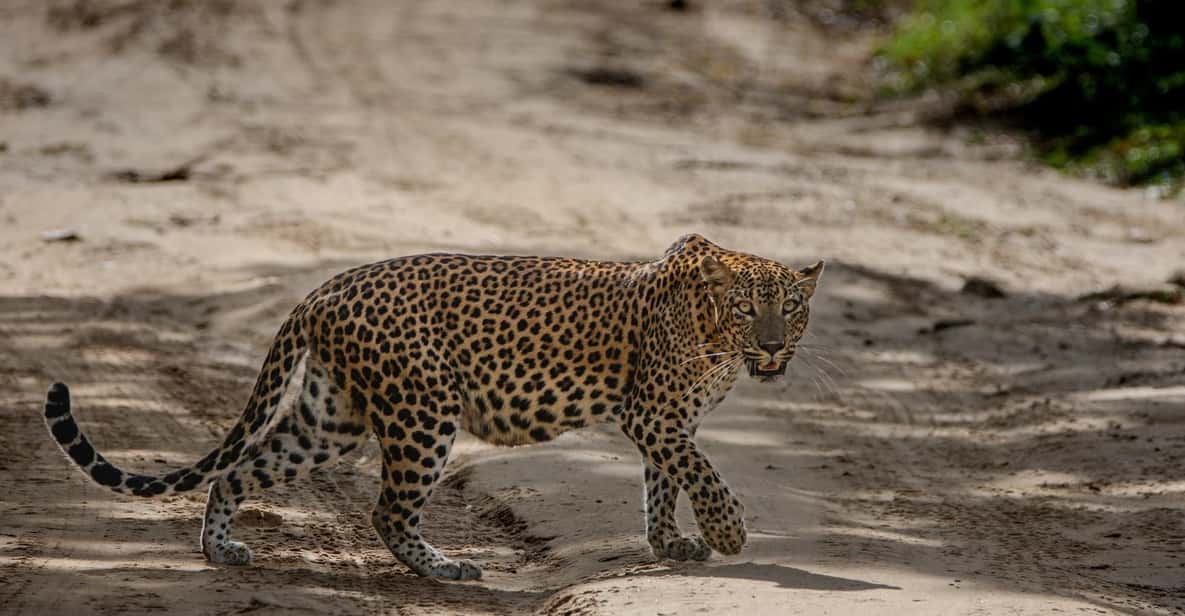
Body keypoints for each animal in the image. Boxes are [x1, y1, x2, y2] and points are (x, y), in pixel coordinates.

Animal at [41, 233, 820, 580]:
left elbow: (666, 481)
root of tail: (324, 288)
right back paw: (443, 567)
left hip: (329, 419)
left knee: (240, 469)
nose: (774, 348)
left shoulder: (667, 421)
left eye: (792, 310)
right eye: (749, 309)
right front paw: (728, 533)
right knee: (387, 509)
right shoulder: (654, 414)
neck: (715, 337)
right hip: (422, 409)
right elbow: (701, 473)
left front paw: (672, 543)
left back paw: (220, 549)